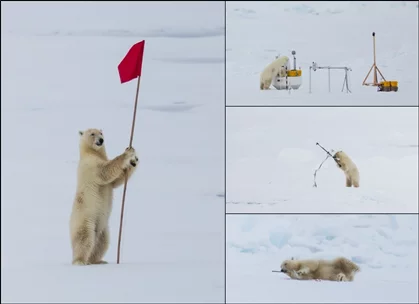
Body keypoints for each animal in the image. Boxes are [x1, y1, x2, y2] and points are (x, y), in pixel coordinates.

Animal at [69, 127, 139, 264]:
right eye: (92, 134)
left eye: (101, 133)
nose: (101, 140)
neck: (90, 153)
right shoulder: (91, 165)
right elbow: (105, 171)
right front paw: (128, 152)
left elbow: (116, 181)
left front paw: (134, 160)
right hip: (85, 219)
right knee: (84, 238)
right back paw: (80, 261)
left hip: (102, 227)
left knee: (101, 242)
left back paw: (97, 261)